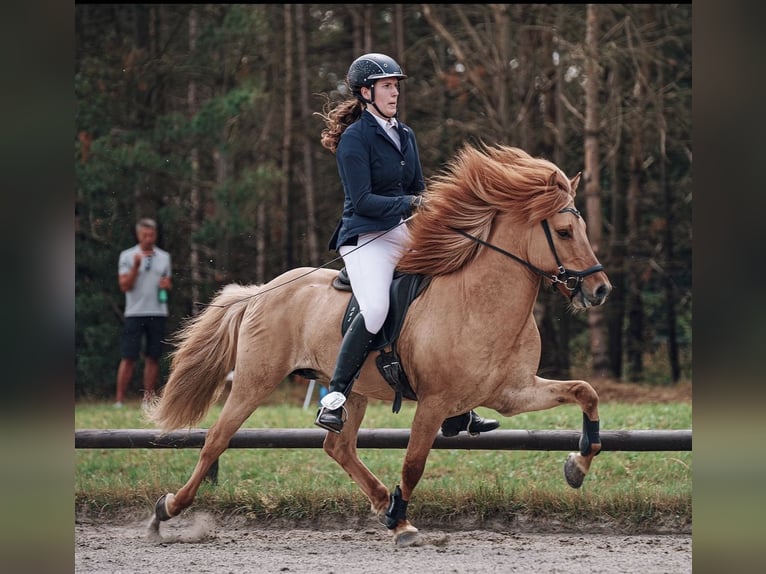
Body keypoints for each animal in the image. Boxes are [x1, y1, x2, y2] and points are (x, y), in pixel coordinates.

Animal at [146, 143, 612, 546]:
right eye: (565, 232)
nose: (600, 290)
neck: (481, 301)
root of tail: (262, 291)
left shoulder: (512, 392)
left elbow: (585, 392)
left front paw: (577, 466)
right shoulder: (434, 402)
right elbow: (414, 463)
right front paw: (401, 520)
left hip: (349, 390)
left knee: (337, 444)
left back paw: (381, 499)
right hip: (254, 381)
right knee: (217, 439)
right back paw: (166, 510)